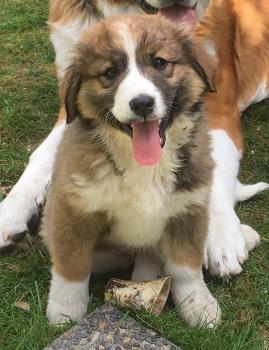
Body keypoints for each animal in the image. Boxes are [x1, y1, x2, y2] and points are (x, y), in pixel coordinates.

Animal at [0, 0, 266, 278]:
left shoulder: (218, 107)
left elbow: (212, 160)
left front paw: (220, 234)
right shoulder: (76, 101)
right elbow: (43, 154)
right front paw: (11, 211)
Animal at [40, 15, 220, 328]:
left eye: (159, 62)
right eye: (110, 73)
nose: (142, 103)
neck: (143, 166)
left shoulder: (189, 208)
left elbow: (186, 264)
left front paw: (198, 304)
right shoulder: (71, 207)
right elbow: (72, 263)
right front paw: (65, 309)